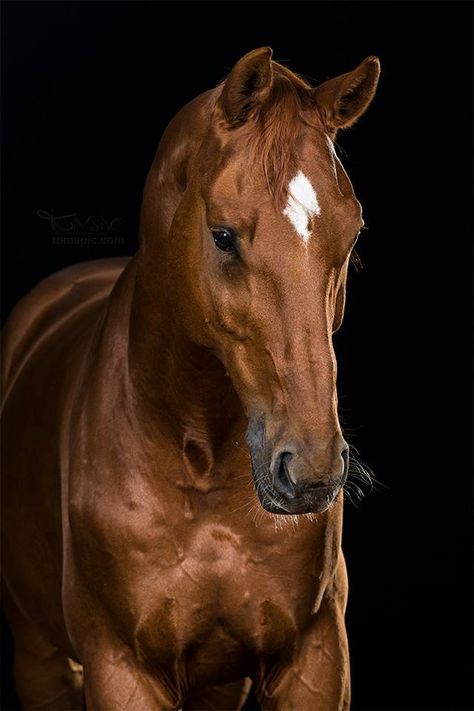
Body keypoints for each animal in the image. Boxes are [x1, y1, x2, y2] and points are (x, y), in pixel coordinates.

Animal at [1, 47, 382, 708]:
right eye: (223, 236)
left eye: (353, 233)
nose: (311, 469)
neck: (198, 464)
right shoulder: (121, 669)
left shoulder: (314, 659)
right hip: (41, 659)